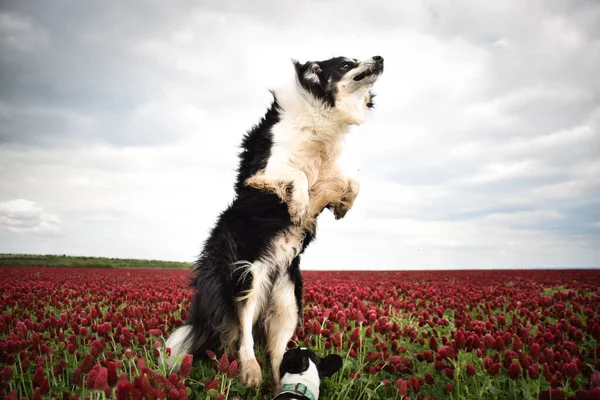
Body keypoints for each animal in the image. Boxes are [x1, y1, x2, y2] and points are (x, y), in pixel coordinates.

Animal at [168, 54, 384, 390]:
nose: (380, 58)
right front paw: (297, 207)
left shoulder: (327, 173)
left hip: (288, 302)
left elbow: (351, 181)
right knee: (243, 335)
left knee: (279, 355)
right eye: (346, 63)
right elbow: (297, 176)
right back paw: (249, 371)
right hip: (246, 279)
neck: (320, 109)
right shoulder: (266, 167)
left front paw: (343, 206)